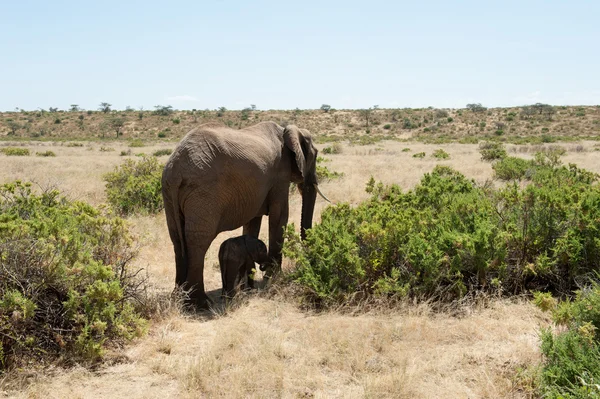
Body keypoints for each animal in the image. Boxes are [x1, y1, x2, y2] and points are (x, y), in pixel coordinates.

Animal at [161, 120, 328, 308]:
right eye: (315, 155)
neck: (286, 130)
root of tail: (175, 170)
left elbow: (252, 222)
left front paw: (250, 285)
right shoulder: (280, 175)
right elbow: (279, 216)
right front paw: (275, 278)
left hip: (169, 194)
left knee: (177, 239)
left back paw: (179, 299)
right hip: (202, 193)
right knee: (198, 241)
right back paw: (200, 304)